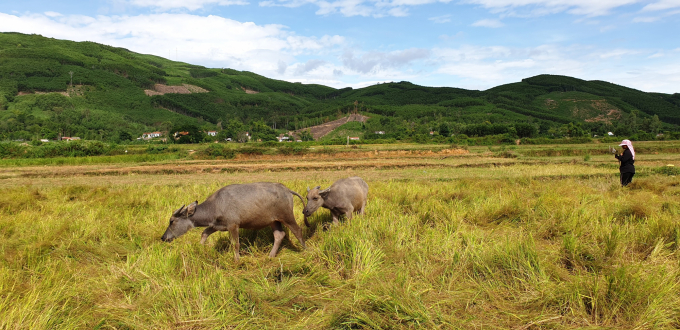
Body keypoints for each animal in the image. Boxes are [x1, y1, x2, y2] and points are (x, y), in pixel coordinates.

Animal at [162, 182, 306, 262]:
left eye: (172, 221)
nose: (163, 237)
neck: (215, 205)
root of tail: (287, 190)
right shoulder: (216, 226)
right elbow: (204, 233)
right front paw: (201, 247)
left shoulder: (233, 225)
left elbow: (235, 244)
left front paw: (237, 260)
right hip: (274, 221)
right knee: (279, 235)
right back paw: (270, 256)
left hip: (287, 216)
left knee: (298, 230)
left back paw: (305, 250)